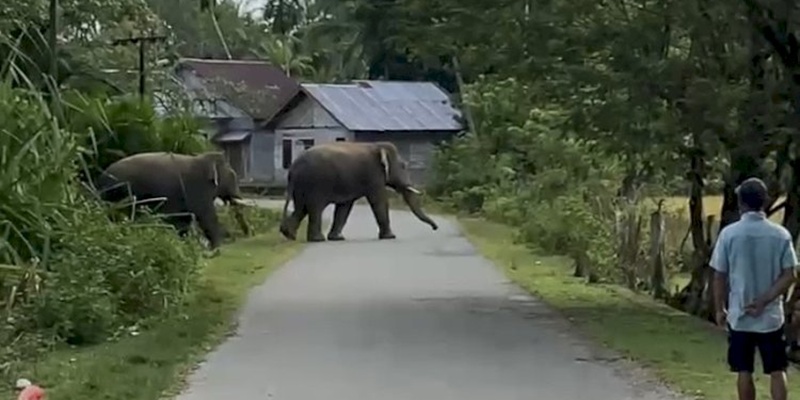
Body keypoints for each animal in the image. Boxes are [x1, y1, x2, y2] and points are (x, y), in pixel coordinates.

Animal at [94, 151, 245, 248]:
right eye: (232, 176)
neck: (202, 158)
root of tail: (101, 178)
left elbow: (185, 218)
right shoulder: (196, 188)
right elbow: (206, 216)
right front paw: (216, 247)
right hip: (122, 193)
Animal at [278, 141, 440, 241]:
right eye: (403, 166)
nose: (435, 228)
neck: (378, 145)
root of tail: (293, 168)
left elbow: (345, 207)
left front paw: (337, 238)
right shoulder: (373, 175)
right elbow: (378, 201)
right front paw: (390, 237)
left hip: (301, 186)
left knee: (301, 208)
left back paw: (289, 235)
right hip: (315, 184)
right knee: (315, 208)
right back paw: (317, 240)